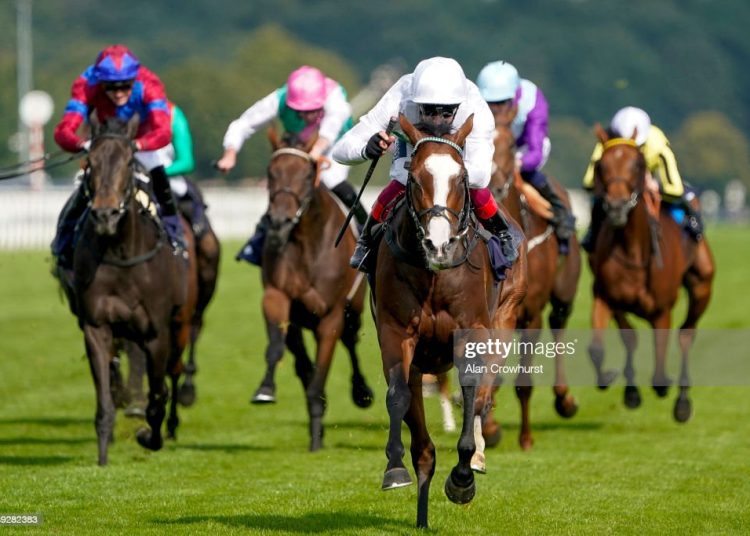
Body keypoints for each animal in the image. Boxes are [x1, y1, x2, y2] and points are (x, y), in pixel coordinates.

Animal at [60, 115, 198, 465]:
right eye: (90, 163)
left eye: (126, 162)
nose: (105, 214)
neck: (120, 253)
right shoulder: (96, 326)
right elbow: (105, 402)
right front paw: (103, 457)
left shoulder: (156, 332)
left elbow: (157, 395)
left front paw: (150, 436)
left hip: (180, 322)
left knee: (174, 372)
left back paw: (172, 424)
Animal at [252, 128, 374, 451]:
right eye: (270, 172)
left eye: (307, 175)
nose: (279, 222)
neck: (307, 242)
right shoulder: (277, 296)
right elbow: (276, 347)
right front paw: (265, 388)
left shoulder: (331, 315)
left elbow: (320, 375)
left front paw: (317, 437)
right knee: (299, 357)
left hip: (353, 310)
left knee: (351, 343)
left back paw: (361, 392)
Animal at [372, 113, 526, 528]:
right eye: (413, 178)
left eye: (460, 178)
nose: (438, 245)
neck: (435, 275)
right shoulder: (397, 332)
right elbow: (398, 397)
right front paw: (395, 468)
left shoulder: (472, 332)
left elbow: (471, 392)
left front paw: (462, 476)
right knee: (422, 438)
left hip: (504, 323)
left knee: (484, 395)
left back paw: (478, 457)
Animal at [486, 102, 582, 449]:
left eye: (510, 145)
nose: (494, 185)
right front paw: (490, 427)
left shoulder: (531, 314)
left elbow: (524, 381)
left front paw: (525, 438)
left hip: (563, 294)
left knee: (559, 324)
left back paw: (565, 400)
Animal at [587, 125, 715, 421]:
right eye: (601, 166)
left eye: (637, 164)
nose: (617, 207)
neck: (633, 249)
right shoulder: (605, 296)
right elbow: (604, 346)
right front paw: (620, 385)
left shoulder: (661, 310)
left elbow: (659, 369)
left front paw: (663, 386)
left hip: (702, 285)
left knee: (686, 335)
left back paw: (682, 402)